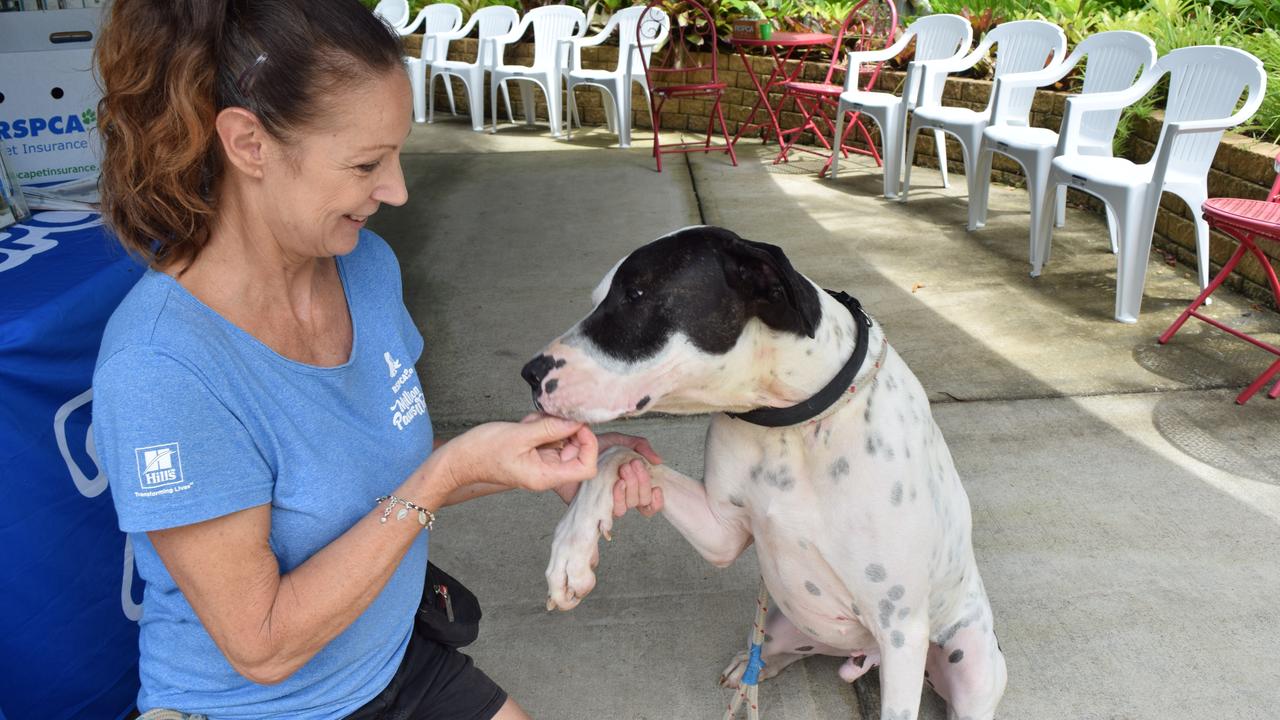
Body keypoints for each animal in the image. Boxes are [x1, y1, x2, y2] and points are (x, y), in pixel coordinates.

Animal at [522, 225, 1008, 717]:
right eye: (599, 297)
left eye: (636, 294)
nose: (530, 373)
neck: (794, 422)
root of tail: (860, 654)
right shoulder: (720, 532)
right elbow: (618, 456)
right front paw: (571, 552)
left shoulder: (901, 630)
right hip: (783, 621)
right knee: (774, 650)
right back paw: (750, 667)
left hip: (971, 662)